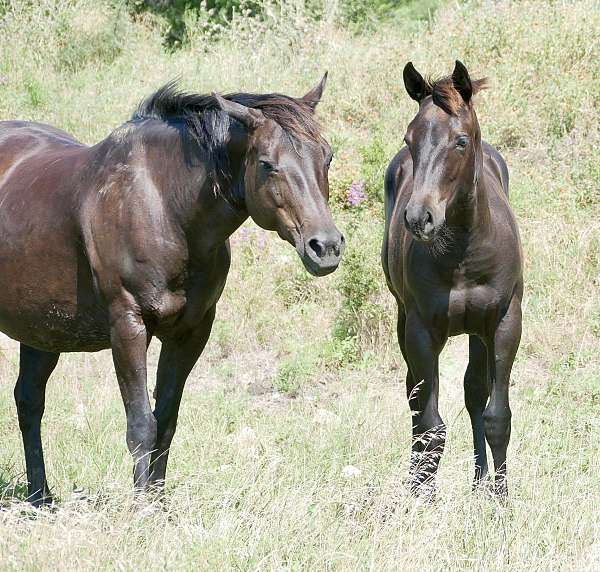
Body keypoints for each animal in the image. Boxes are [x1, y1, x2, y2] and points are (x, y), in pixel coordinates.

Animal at [0, 75, 344, 504]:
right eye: (267, 164)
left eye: (326, 156)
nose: (325, 247)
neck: (162, 205)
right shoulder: (128, 326)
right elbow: (140, 425)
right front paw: (140, 507)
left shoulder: (190, 332)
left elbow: (165, 420)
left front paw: (157, 503)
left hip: (42, 331)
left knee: (29, 401)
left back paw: (40, 497)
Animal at [382, 62, 524, 498]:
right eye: (410, 139)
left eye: (460, 141)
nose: (418, 219)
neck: (462, 251)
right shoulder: (421, 330)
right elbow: (430, 425)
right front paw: (420, 499)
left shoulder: (505, 322)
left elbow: (497, 417)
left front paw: (499, 499)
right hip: (405, 321)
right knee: (415, 398)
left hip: (477, 330)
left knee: (474, 391)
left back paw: (479, 482)